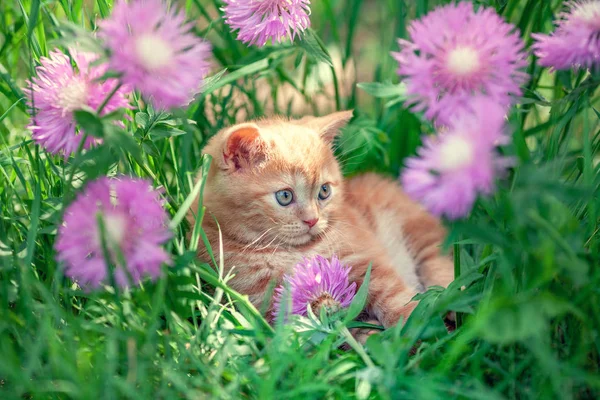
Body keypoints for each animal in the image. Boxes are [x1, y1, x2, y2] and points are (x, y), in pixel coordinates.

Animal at [190, 110, 452, 328]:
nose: (312, 220)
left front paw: (415, 328)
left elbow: (392, 295)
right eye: (285, 196)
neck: (293, 252)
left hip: (417, 231)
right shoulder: (266, 301)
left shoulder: (363, 259)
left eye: (324, 191)